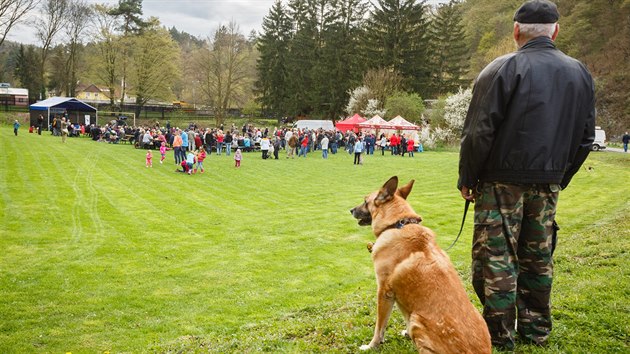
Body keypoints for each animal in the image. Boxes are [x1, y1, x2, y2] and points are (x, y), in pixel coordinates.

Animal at [350, 176, 494, 352]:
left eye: (365, 201)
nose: (350, 210)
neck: (398, 224)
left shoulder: (384, 292)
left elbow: (380, 327)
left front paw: (372, 346)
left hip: (416, 321)